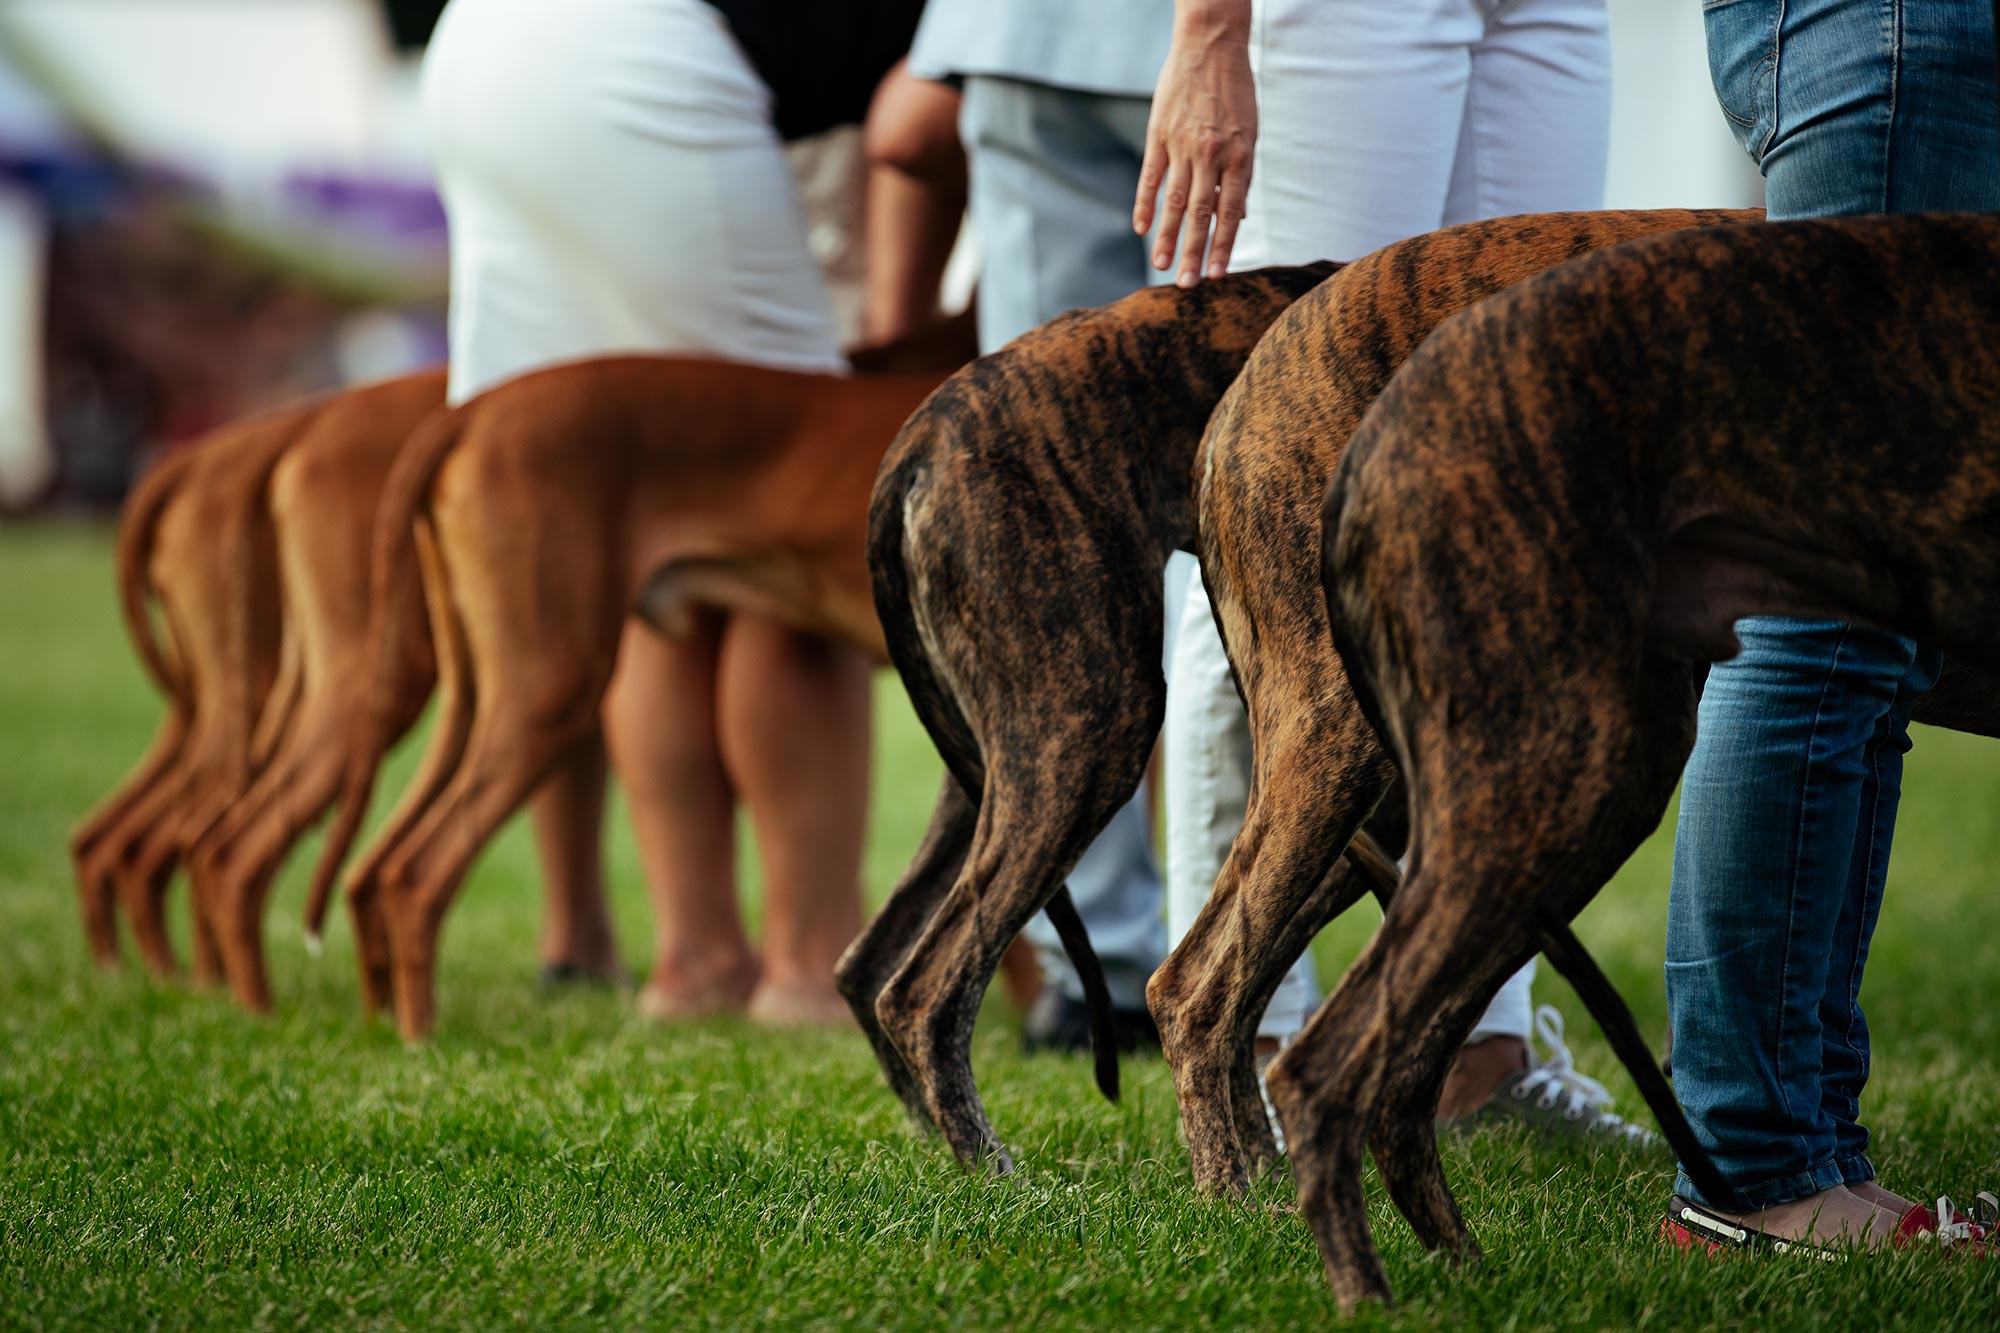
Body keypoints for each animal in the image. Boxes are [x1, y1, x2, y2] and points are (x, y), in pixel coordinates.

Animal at [1294, 213, 2000, 1307]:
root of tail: (1369, 441)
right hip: (1551, 772)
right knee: (1318, 1064)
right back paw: (1368, 1299)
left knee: (1397, 1076)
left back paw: (1471, 1275)